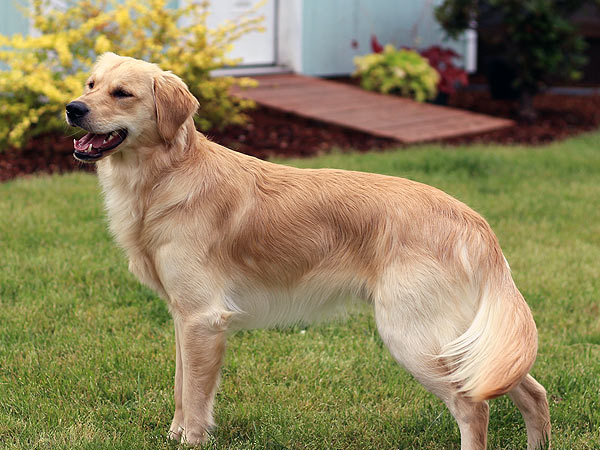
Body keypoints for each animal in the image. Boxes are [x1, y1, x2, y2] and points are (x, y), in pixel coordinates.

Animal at [64, 53, 548, 450]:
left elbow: (196, 396)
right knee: (529, 391)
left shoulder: (202, 317)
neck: (167, 175)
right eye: (90, 84)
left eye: (122, 93)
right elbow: (182, 388)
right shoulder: (183, 317)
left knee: (474, 405)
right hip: (465, 341)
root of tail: (473, 221)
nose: (72, 108)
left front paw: (191, 441)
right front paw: (174, 435)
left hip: (412, 334)